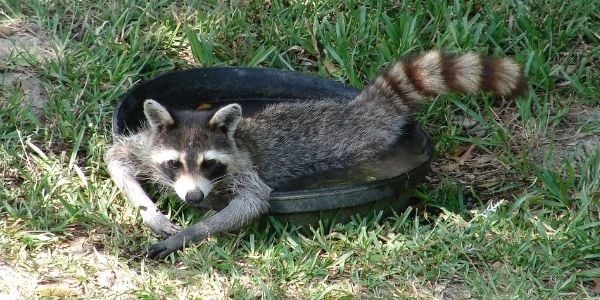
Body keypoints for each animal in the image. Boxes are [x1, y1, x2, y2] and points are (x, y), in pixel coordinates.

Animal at [106, 50, 524, 258]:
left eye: (209, 164)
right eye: (174, 163)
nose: (193, 198)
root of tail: (358, 110)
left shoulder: (243, 166)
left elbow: (254, 201)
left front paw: (191, 232)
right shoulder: (148, 144)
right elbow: (117, 158)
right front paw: (150, 210)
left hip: (364, 142)